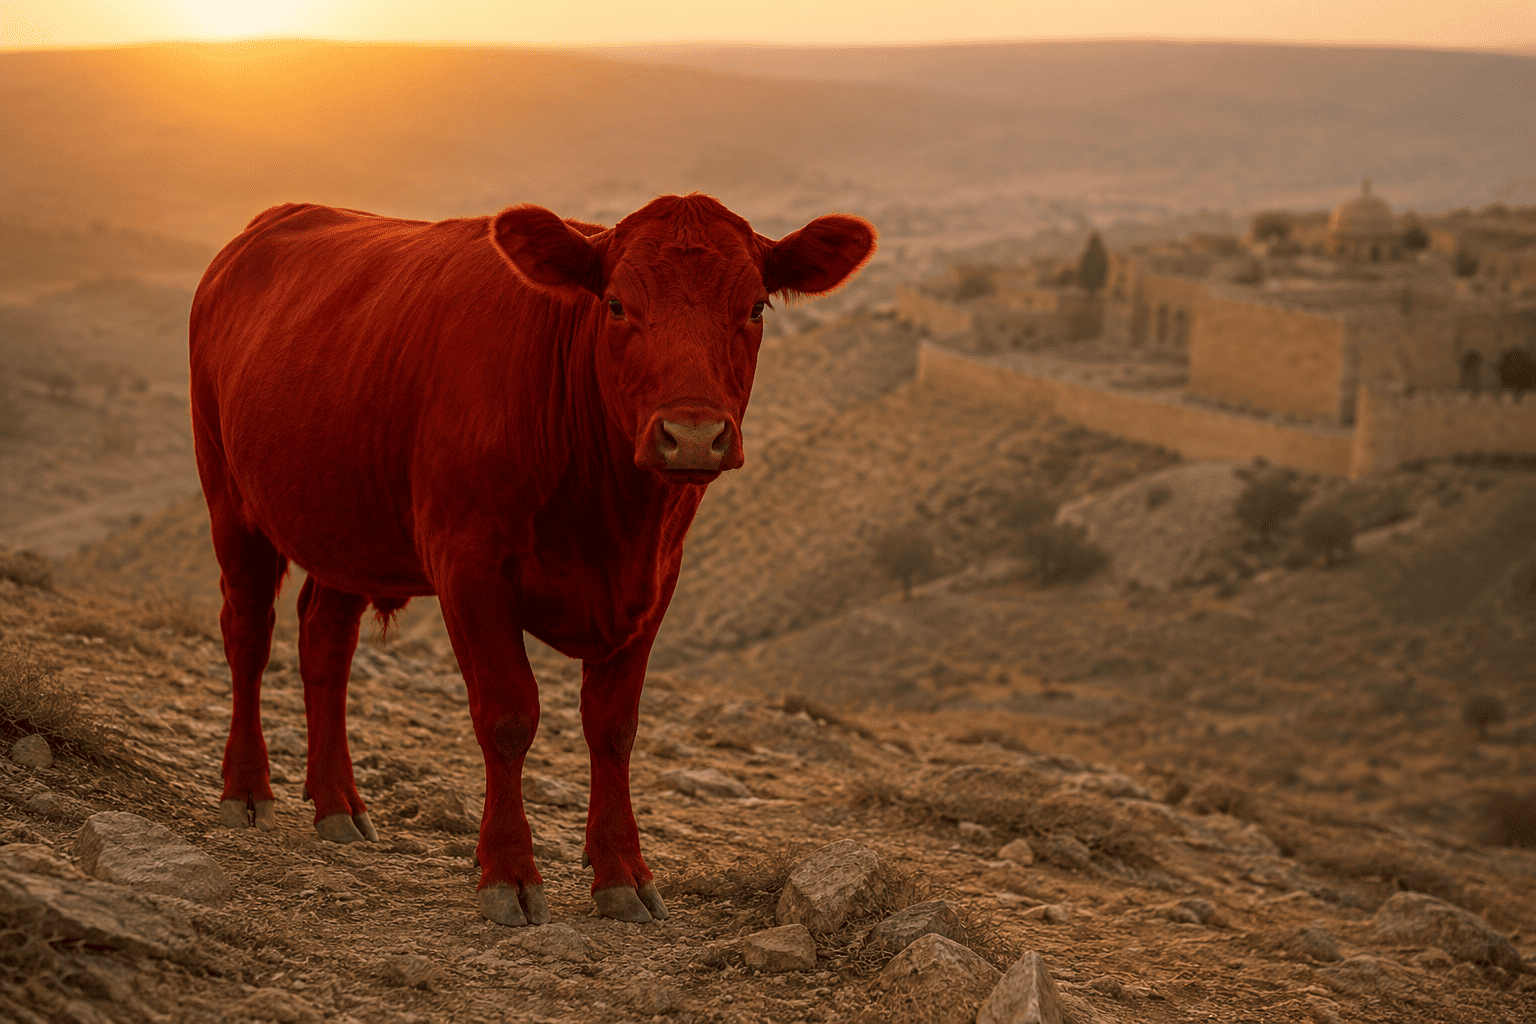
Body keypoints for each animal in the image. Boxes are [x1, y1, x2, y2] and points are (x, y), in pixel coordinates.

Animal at [190, 194, 875, 926]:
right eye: (616, 305)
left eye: (754, 308)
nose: (693, 435)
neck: (610, 517)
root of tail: (274, 218)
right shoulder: (468, 565)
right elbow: (508, 717)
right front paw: (509, 873)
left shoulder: (655, 580)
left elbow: (614, 727)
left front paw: (622, 872)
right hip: (229, 495)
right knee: (248, 633)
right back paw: (247, 790)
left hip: (345, 525)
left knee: (325, 644)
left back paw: (337, 804)